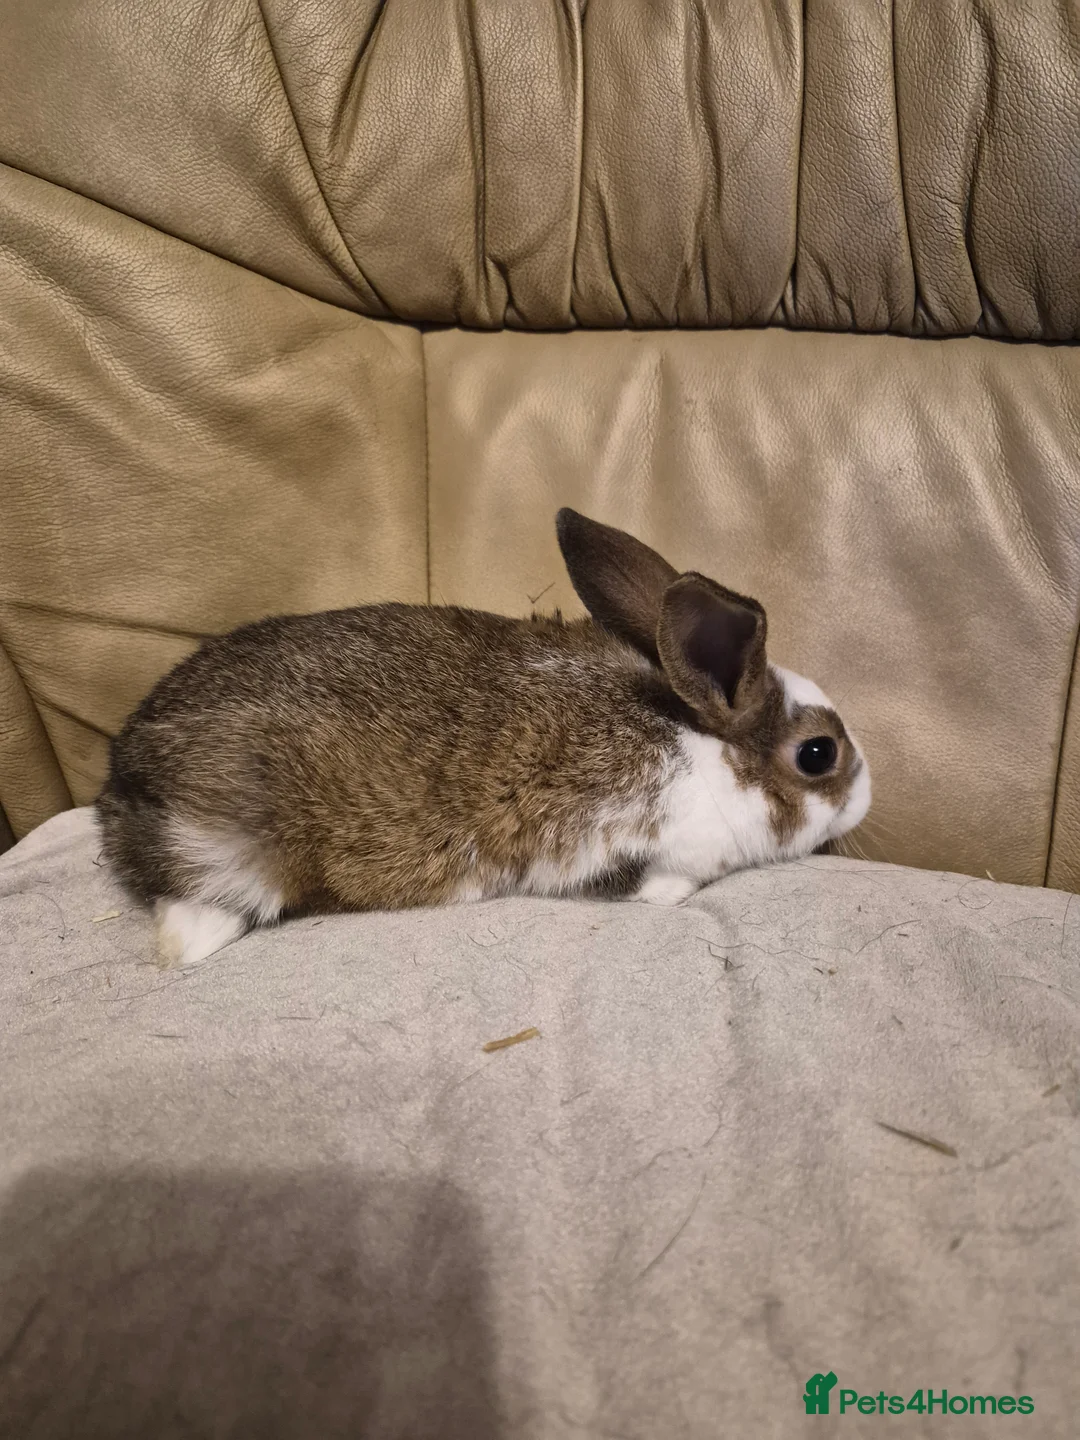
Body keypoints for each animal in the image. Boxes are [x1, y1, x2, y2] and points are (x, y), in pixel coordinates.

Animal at [96, 509, 870, 967]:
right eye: (819, 754)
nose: (867, 796)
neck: (701, 741)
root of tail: (118, 785)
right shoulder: (636, 841)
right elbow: (658, 883)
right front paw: (661, 900)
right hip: (231, 848)